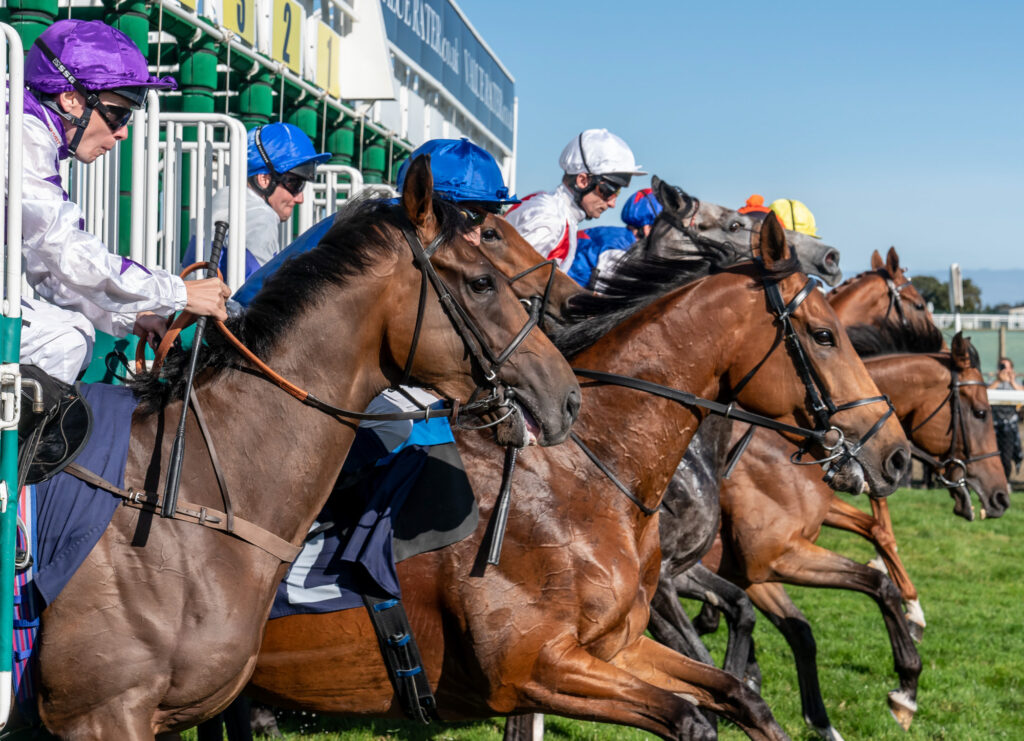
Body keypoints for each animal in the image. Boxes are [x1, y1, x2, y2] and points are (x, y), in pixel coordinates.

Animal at [251, 213, 909, 741]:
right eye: (823, 336)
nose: (897, 454)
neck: (589, 475)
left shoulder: (617, 643)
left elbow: (738, 693)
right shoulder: (534, 668)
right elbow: (692, 715)